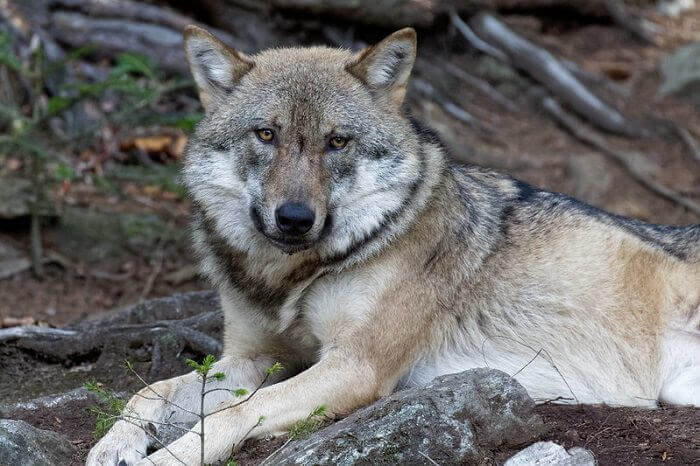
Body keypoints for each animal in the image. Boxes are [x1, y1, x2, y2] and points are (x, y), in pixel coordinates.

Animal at [87, 25, 700, 465]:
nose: (294, 219)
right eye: (266, 135)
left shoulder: (356, 367)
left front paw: (165, 458)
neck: (292, 275)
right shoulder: (249, 358)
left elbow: (239, 414)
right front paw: (114, 444)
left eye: (337, 142)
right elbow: (151, 392)